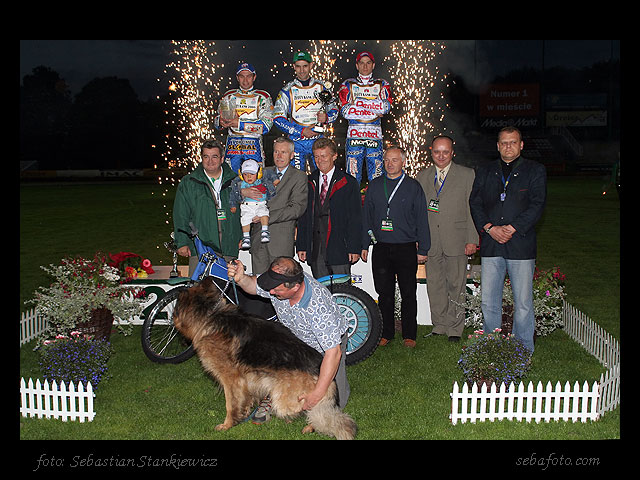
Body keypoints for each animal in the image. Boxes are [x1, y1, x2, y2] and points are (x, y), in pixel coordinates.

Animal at [172, 276, 358, 440]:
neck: (211, 315)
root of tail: (325, 374)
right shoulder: (243, 381)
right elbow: (244, 399)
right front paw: (245, 412)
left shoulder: (231, 380)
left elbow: (230, 405)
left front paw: (227, 424)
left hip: (283, 398)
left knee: (316, 413)